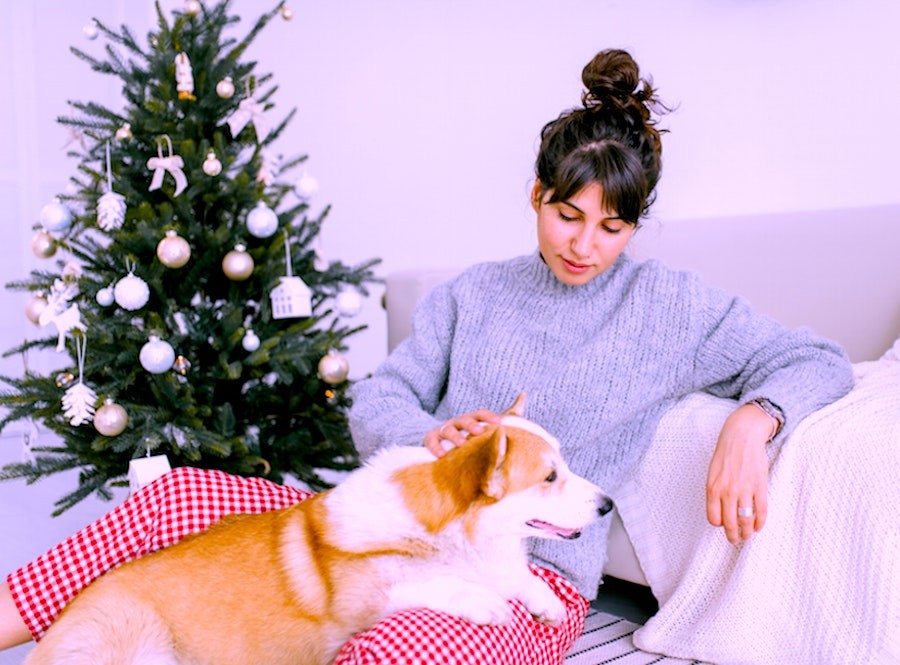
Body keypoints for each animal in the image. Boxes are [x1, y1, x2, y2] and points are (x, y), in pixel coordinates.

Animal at [26, 394, 612, 664]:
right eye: (550, 476)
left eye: (564, 466)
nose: (608, 505)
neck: (449, 531)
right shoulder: (360, 600)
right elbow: (428, 582)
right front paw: (483, 601)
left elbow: (519, 578)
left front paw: (543, 601)